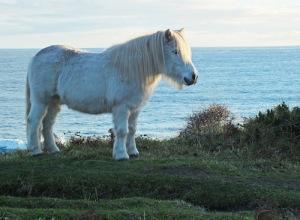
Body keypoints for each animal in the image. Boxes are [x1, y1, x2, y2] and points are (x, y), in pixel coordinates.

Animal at [25, 28, 198, 160]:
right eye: (175, 52)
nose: (193, 77)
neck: (132, 69)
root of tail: (37, 55)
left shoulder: (135, 109)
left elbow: (132, 130)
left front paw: (133, 152)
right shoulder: (121, 108)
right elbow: (122, 131)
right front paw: (121, 155)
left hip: (54, 102)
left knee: (47, 124)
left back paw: (53, 150)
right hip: (41, 100)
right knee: (34, 121)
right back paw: (35, 151)